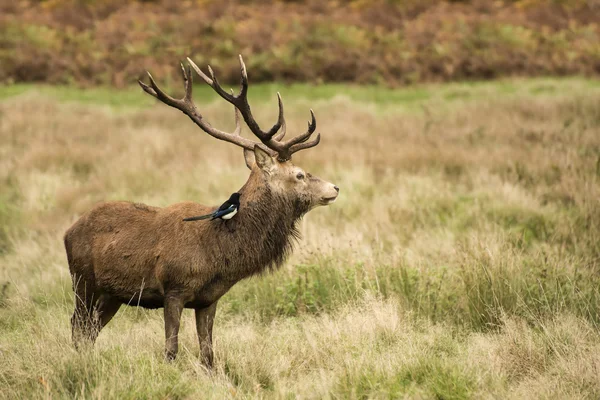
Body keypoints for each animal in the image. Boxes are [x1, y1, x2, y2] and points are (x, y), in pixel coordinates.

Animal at [65, 56, 340, 368]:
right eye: (299, 175)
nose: (334, 187)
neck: (218, 253)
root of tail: (68, 232)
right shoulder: (173, 289)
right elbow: (170, 350)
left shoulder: (209, 299)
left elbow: (208, 354)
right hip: (82, 281)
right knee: (77, 326)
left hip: (112, 295)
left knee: (90, 331)